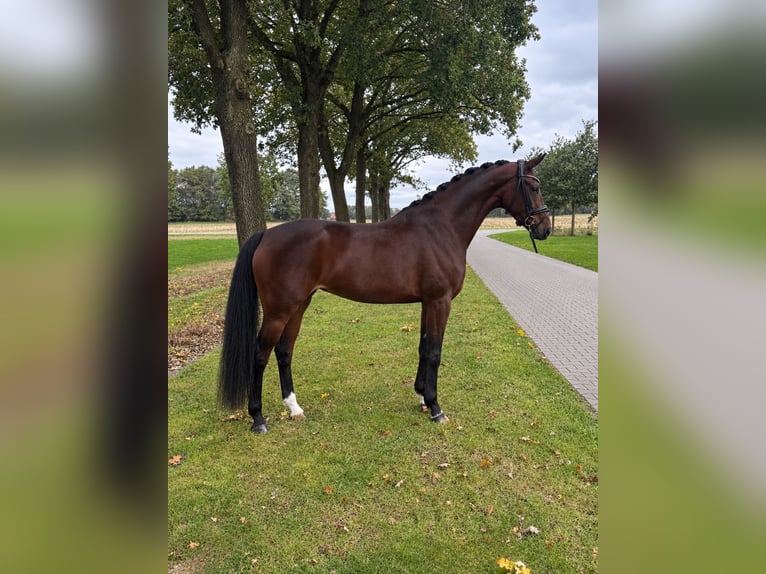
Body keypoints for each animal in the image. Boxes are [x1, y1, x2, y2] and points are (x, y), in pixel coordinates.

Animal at [219, 155, 551, 433]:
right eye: (534, 186)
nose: (545, 228)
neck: (441, 228)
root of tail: (267, 234)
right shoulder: (440, 301)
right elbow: (435, 352)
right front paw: (436, 408)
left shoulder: (427, 303)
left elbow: (423, 348)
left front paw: (422, 398)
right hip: (279, 310)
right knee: (260, 354)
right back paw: (258, 418)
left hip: (299, 305)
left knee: (284, 351)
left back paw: (294, 408)